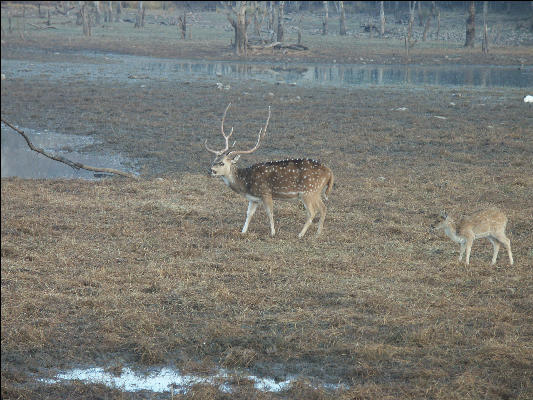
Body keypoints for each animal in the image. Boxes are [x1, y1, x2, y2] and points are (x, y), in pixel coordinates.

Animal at [204, 103, 332, 238]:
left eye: (222, 163)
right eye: (214, 160)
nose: (210, 170)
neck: (245, 182)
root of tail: (330, 172)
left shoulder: (266, 193)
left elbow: (270, 213)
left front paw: (273, 233)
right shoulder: (253, 199)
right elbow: (249, 214)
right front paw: (243, 231)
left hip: (308, 191)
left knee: (312, 212)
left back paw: (300, 234)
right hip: (316, 192)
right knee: (323, 208)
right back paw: (318, 233)